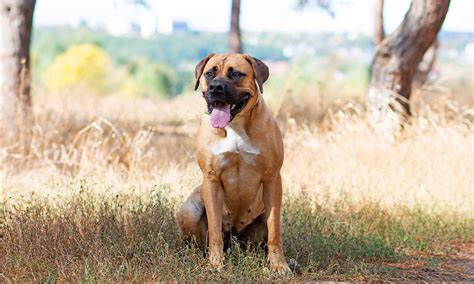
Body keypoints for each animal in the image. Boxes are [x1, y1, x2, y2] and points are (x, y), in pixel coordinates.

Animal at [177, 52, 290, 272]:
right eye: (210, 73)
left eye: (236, 74)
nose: (215, 87)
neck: (235, 125)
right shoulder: (211, 179)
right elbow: (214, 230)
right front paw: (216, 262)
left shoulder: (272, 179)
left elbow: (274, 232)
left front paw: (279, 265)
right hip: (190, 210)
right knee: (199, 243)